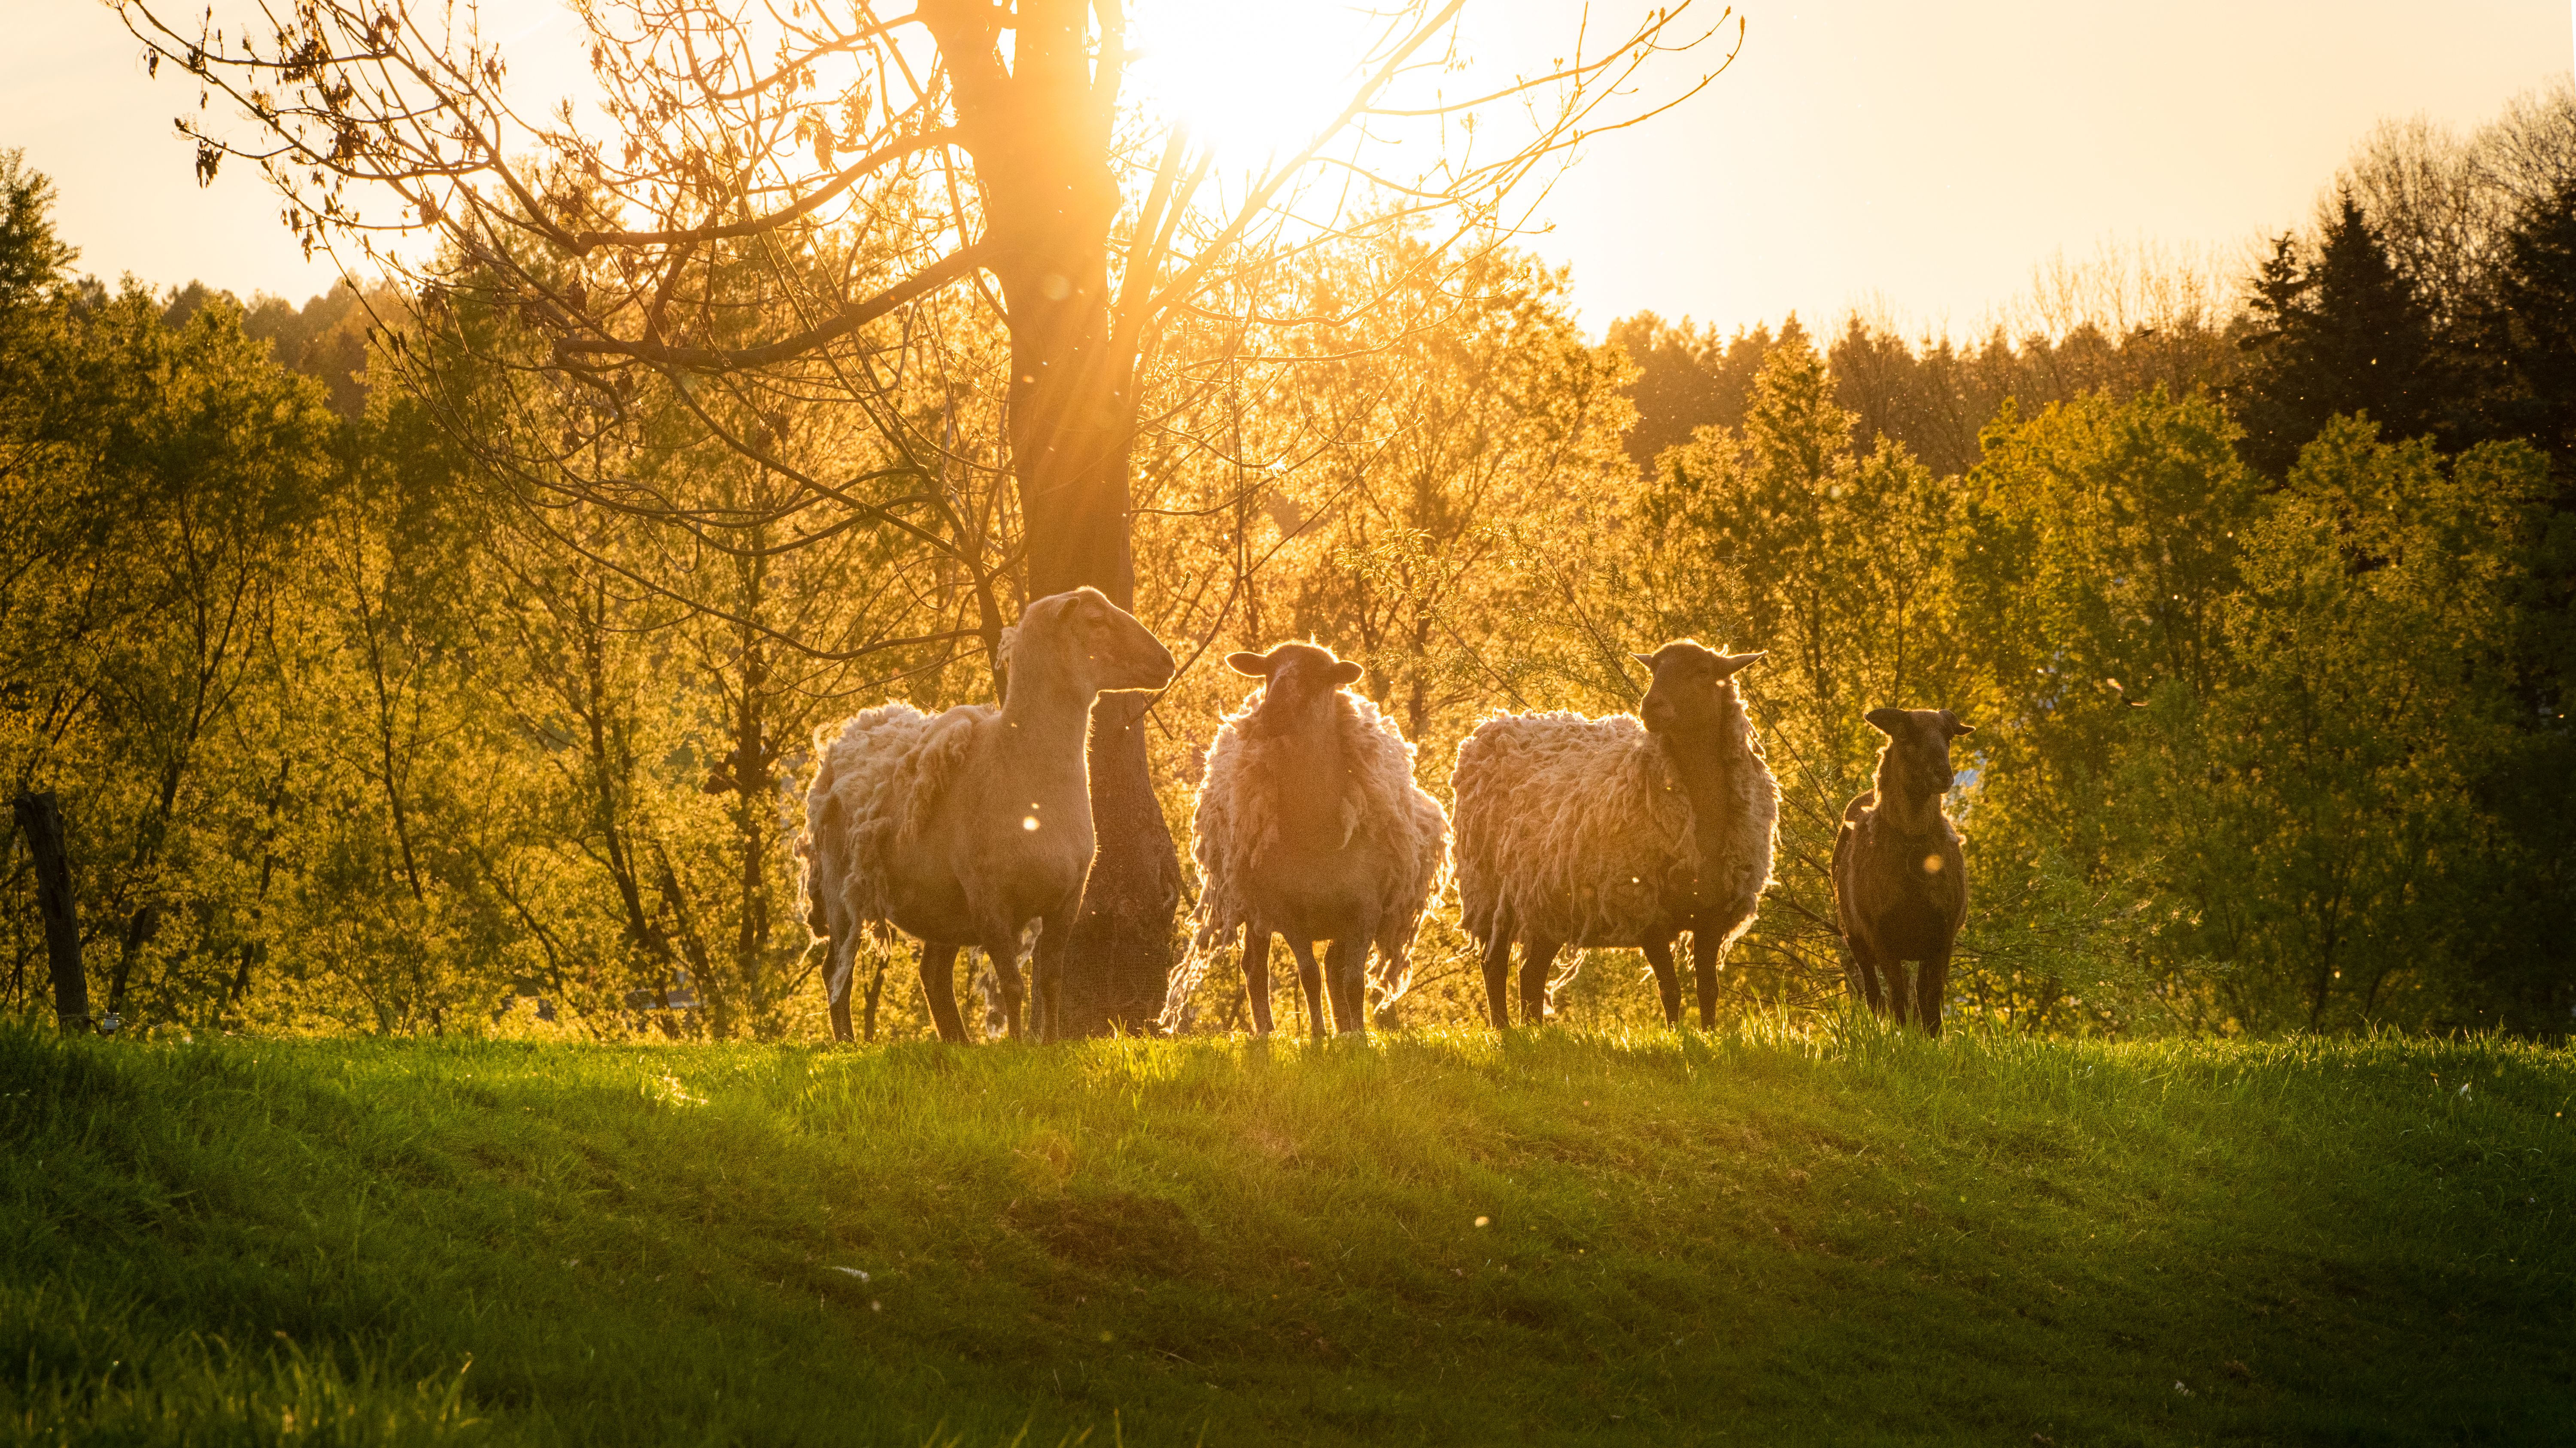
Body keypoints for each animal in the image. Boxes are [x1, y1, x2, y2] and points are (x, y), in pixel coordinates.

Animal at [798, 587, 1174, 1044]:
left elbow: (1050, 982)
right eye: (1096, 621)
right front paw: (1018, 1046)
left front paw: (1050, 1045)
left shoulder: (1068, 899)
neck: (1020, 764)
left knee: (933, 977)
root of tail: (852, 735)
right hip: (842, 891)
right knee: (837, 971)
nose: (1167, 661)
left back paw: (958, 1044)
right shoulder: (989, 898)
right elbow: (1013, 985)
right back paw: (848, 1043)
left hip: (940, 904)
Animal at [1190, 642, 1450, 1039]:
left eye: (1319, 678)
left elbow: (1354, 981)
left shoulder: (1364, 910)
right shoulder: (1288, 911)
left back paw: (1345, 1028)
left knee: (1333, 968)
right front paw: (1317, 1036)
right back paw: (1266, 1031)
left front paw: (1358, 1037)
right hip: (1254, 907)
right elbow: (1308, 976)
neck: (1316, 830)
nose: (1268, 716)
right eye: (1268, 673)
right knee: (1256, 966)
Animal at [1449, 641, 1777, 1029]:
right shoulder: (1645, 907)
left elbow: (1708, 990)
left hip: (1548, 902)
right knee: (1494, 964)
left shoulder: (1711, 912)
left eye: (1702, 671)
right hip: (1492, 892)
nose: (1650, 707)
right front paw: (1678, 1037)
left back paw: (1535, 1032)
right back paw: (1504, 1030)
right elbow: (1671, 991)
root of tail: (1494, 725)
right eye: (1655, 670)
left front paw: (1709, 1035)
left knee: (1531, 974)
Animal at [1831, 707, 1974, 1035]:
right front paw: (1903, 1036)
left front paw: (1933, 1038)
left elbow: (1931, 997)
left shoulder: (1943, 934)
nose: (1944, 775)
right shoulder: (1880, 935)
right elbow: (1898, 995)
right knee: (1874, 994)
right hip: (1854, 938)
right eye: (1905, 737)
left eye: (1948, 737)